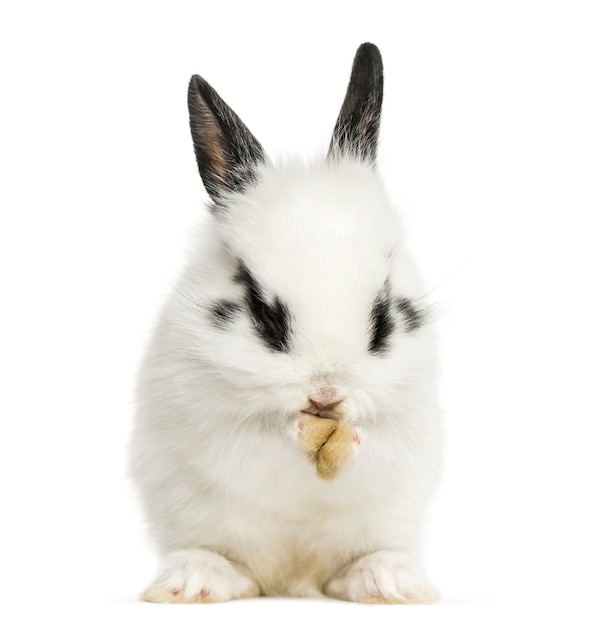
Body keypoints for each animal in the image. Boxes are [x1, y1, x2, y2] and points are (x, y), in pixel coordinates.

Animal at [129, 41, 442, 604]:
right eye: (263, 314)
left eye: (383, 315)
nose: (327, 393)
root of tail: (296, 579)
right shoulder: (217, 427)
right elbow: (263, 439)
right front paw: (297, 426)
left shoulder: (409, 424)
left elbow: (378, 444)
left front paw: (350, 434)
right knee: (238, 569)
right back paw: (195, 580)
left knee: (347, 569)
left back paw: (388, 581)